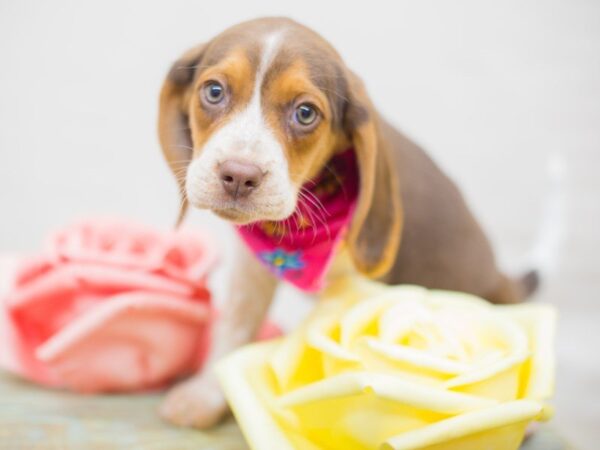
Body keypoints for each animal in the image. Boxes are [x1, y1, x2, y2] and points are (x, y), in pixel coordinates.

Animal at [157, 15, 536, 428]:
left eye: (305, 113)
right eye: (214, 91)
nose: (239, 176)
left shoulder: (355, 290)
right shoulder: (250, 270)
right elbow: (234, 328)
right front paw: (206, 395)